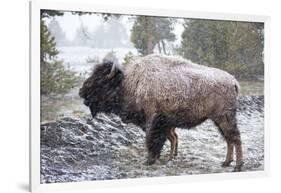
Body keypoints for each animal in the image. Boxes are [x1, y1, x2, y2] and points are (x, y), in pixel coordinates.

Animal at [79, 54, 243, 172]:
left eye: (100, 81)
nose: (81, 92)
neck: (128, 84)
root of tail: (233, 81)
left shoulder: (153, 120)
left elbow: (152, 140)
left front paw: (150, 160)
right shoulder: (163, 123)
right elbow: (162, 139)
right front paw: (158, 158)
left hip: (224, 118)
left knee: (235, 138)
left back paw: (237, 166)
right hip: (218, 120)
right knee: (229, 139)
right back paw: (226, 162)